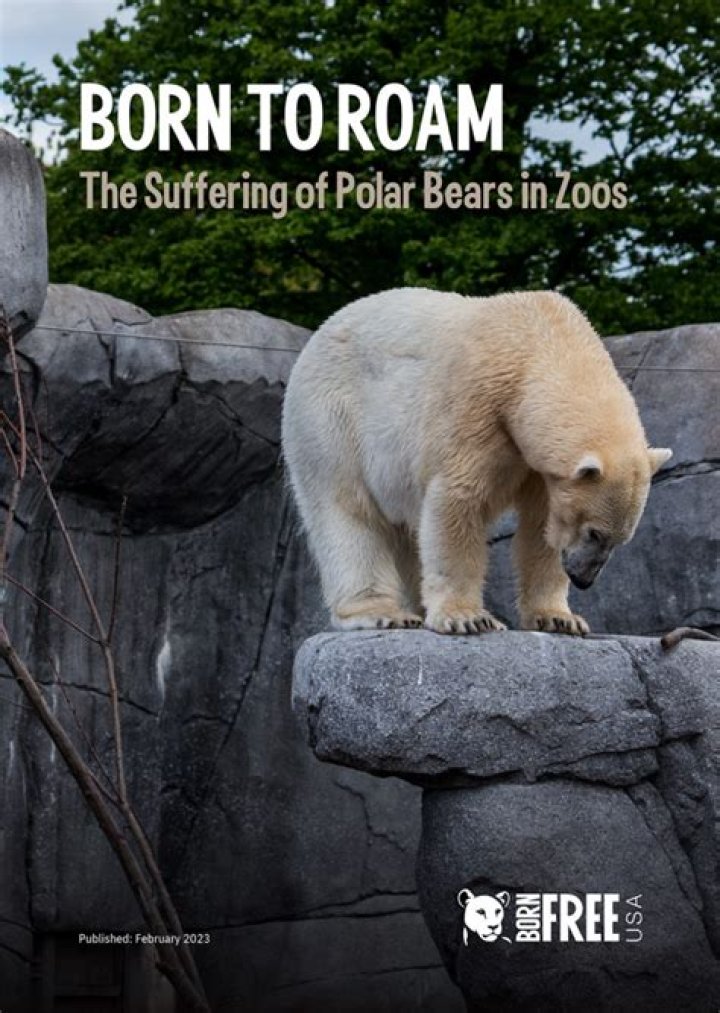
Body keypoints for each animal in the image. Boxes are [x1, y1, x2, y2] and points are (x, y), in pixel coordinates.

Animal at [281, 288, 671, 635]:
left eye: (619, 540)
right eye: (595, 532)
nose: (584, 579)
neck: (537, 340)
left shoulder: (534, 462)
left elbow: (541, 525)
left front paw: (560, 619)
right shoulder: (475, 406)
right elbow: (457, 501)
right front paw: (468, 618)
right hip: (330, 417)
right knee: (346, 509)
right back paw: (382, 612)